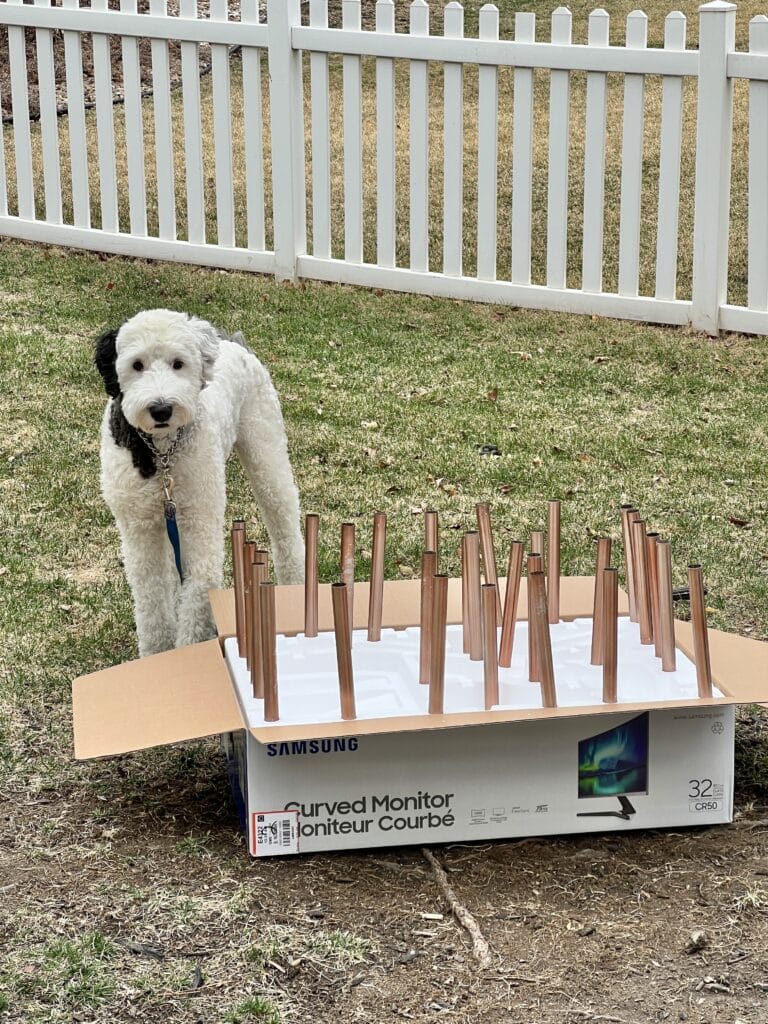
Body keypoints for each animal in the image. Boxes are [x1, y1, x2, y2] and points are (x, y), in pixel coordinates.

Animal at [93, 307, 303, 655]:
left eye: (179, 363)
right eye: (136, 365)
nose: (161, 409)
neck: (162, 453)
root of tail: (232, 343)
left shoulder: (200, 522)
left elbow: (198, 593)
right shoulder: (138, 529)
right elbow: (151, 597)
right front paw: (157, 654)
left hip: (266, 452)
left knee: (284, 521)